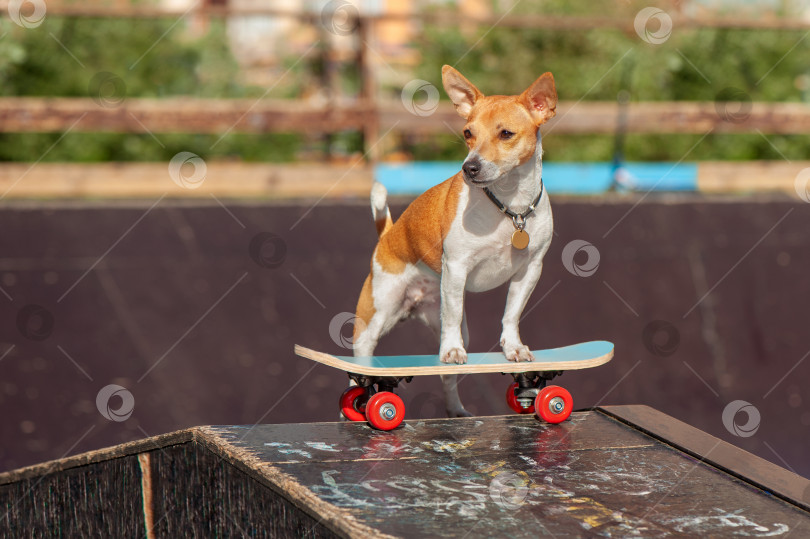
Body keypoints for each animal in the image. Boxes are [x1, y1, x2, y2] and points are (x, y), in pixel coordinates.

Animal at [352, 64, 556, 418]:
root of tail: (389, 233)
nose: (469, 167)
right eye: (467, 133)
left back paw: (455, 410)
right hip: (373, 318)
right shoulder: (457, 267)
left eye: (506, 134)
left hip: (452, 323)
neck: (510, 208)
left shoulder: (529, 271)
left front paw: (514, 347)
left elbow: (511, 313)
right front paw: (451, 350)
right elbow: (455, 315)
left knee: (447, 375)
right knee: (359, 375)